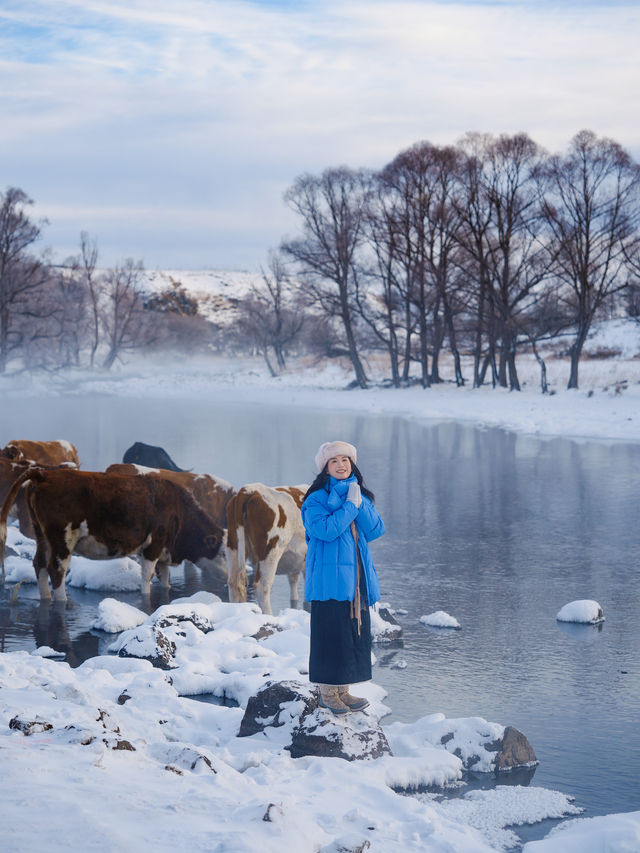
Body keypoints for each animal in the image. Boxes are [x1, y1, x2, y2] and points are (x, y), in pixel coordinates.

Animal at [0, 466, 224, 600]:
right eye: (223, 553)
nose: (228, 577)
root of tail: (45, 474)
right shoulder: (153, 545)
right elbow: (147, 576)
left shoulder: (163, 551)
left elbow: (164, 579)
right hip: (61, 539)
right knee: (56, 571)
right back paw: (61, 601)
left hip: (42, 536)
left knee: (39, 565)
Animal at [226, 482, 308, 616]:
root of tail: (250, 489)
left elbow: (294, 587)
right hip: (270, 551)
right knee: (262, 587)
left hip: (233, 547)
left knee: (233, 583)